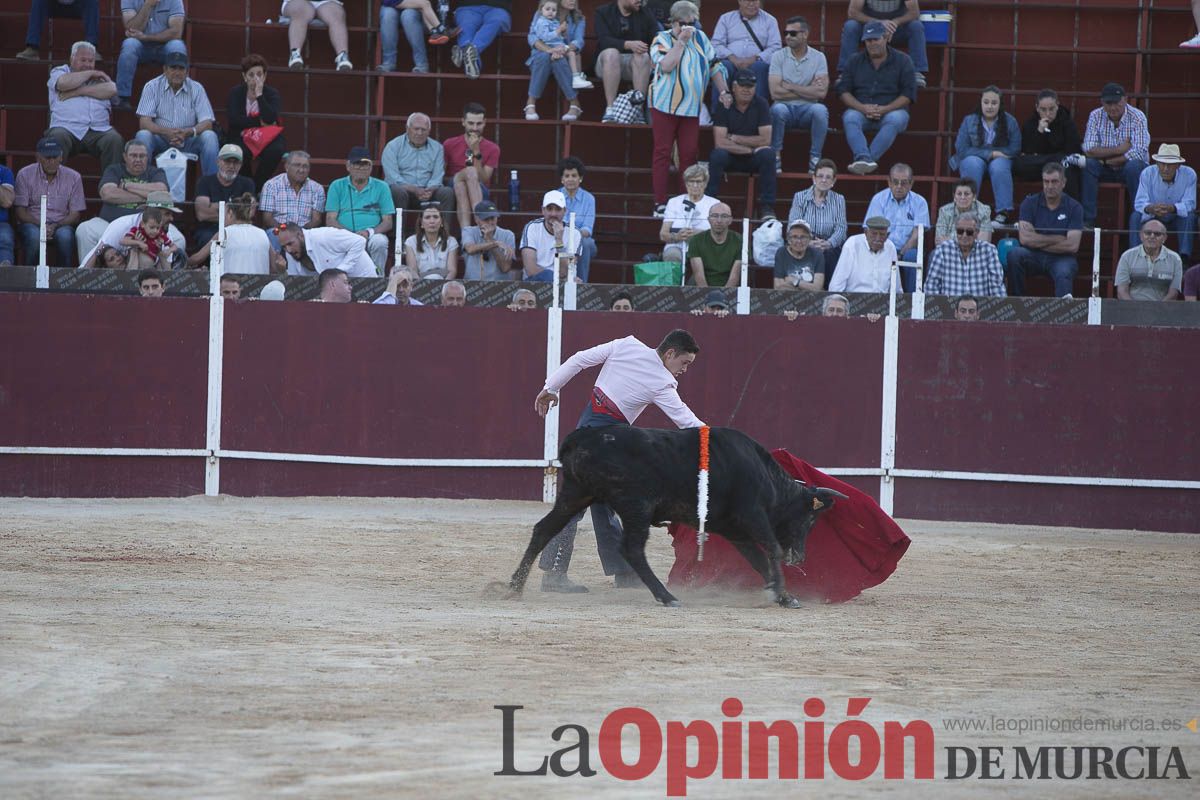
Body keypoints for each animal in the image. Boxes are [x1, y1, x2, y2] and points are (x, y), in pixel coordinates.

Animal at [511, 424, 849, 606]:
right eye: (810, 519)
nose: (800, 557)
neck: (765, 476)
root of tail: (583, 437)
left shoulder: (736, 531)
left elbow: (758, 559)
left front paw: (782, 595)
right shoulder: (753, 515)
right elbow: (773, 550)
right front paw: (780, 591)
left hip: (576, 493)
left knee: (544, 529)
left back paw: (513, 586)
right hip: (636, 505)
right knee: (632, 549)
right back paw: (666, 596)